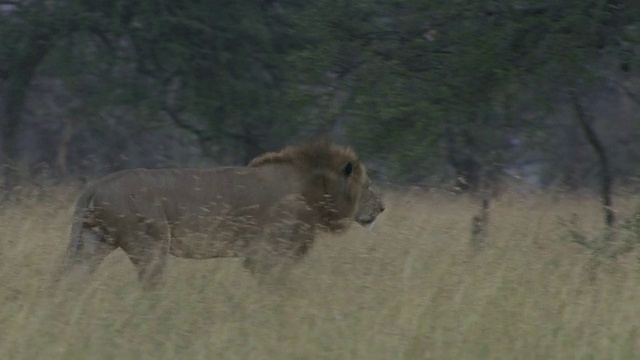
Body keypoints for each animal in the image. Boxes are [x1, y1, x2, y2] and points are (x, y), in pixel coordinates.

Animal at [55, 141, 382, 290]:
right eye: (367, 186)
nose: (382, 207)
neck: (311, 190)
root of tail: (96, 184)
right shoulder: (263, 253)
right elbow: (276, 284)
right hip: (149, 245)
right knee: (150, 286)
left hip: (93, 242)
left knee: (73, 278)